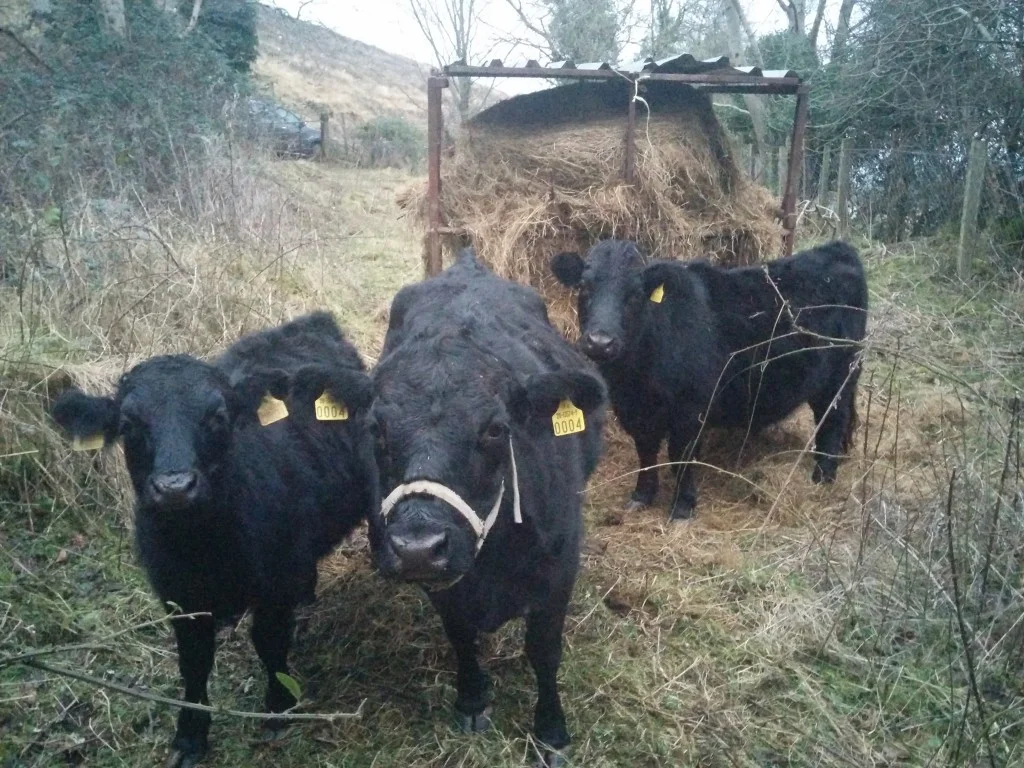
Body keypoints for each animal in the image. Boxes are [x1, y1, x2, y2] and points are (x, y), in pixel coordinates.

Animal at [49, 312, 377, 768]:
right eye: (129, 426)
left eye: (217, 417)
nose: (174, 488)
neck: (204, 548)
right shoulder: (178, 596)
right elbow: (194, 661)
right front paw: (190, 735)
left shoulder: (275, 580)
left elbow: (270, 642)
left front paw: (278, 708)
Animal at [320, 248, 606, 766]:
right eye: (376, 429)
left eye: (495, 429)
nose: (418, 546)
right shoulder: (446, 587)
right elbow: (459, 634)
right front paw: (472, 699)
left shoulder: (559, 571)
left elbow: (544, 652)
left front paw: (551, 732)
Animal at [550, 239, 867, 520]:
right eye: (584, 287)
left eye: (635, 294)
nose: (600, 342)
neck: (634, 379)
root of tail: (836, 249)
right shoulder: (637, 413)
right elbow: (646, 452)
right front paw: (641, 496)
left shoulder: (690, 411)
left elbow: (682, 456)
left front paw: (682, 507)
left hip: (840, 377)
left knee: (833, 422)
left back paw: (823, 477)